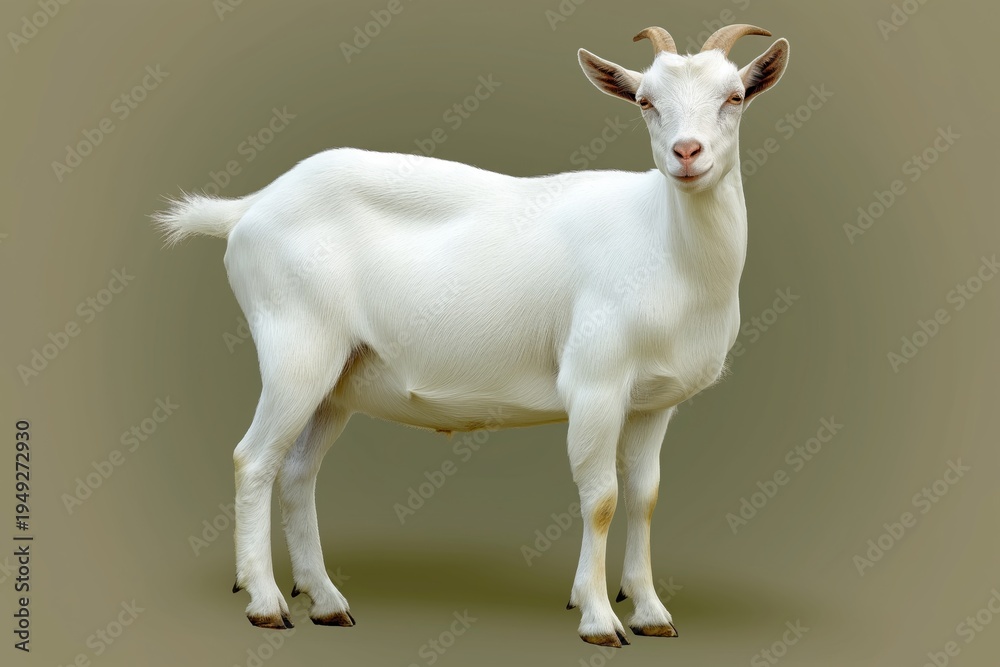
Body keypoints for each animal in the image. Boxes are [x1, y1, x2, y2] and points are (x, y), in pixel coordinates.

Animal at [155, 24, 789, 647]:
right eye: (645, 102)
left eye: (735, 97)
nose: (687, 153)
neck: (664, 244)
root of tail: (251, 208)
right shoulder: (595, 382)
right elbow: (601, 498)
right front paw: (598, 618)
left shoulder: (654, 402)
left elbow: (645, 496)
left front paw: (651, 612)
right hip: (296, 347)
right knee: (253, 460)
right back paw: (266, 603)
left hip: (338, 378)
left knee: (297, 473)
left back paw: (328, 602)